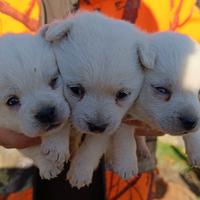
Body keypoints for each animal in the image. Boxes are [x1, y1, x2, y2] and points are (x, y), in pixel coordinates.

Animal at [0, 32, 70, 179]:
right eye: (12, 101)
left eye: (54, 80)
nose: (46, 113)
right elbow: (31, 149)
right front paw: (48, 165)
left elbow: (60, 125)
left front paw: (56, 146)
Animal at [44, 11, 154, 188]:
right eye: (76, 90)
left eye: (122, 94)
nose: (97, 127)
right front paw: (56, 146)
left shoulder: (110, 128)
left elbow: (91, 148)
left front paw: (80, 173)